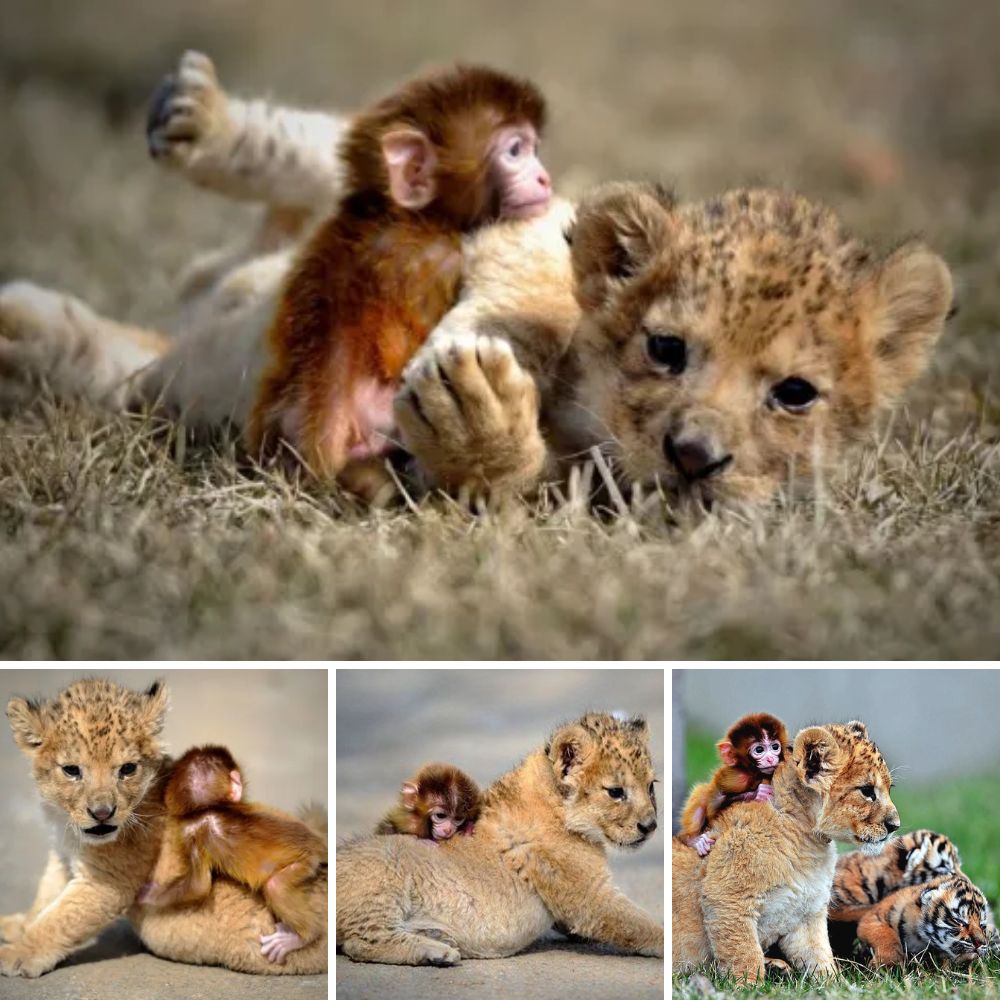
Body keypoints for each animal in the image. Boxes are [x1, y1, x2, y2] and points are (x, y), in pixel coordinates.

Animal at [139, 748, 328, 964]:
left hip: (305, 862)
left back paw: (302, 936)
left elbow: (198, 886)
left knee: (275, 886)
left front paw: (148, 894)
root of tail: (318, 843)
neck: (209, 808)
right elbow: (198, 886)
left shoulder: (191, 833)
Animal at [680, 712, 788, 860]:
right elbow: (713, 807)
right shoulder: (735, 778)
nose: (770, 759)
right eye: (759, 749)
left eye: (775, 747)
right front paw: (758, 793)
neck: (754, 774)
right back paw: (693, 840)